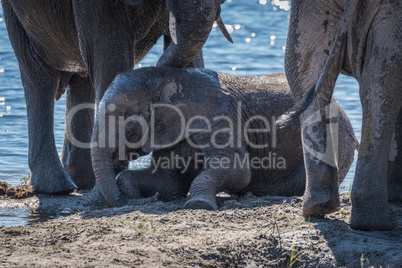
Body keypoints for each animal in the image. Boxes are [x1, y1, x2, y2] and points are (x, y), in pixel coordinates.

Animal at [0, 0, 231, 193]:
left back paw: (84, 181)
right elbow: (112, 53)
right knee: (38, 72)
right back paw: (56, 187)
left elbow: (188, 50)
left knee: (82, 77)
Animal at [89, 67, 356, 209]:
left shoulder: (220, 119)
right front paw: (132, 191)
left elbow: (237, 169)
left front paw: (198, 205)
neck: (168, 78)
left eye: (125, 117)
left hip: (336, 138)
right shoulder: (169, 130)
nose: (125, 202)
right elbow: (169, 180)